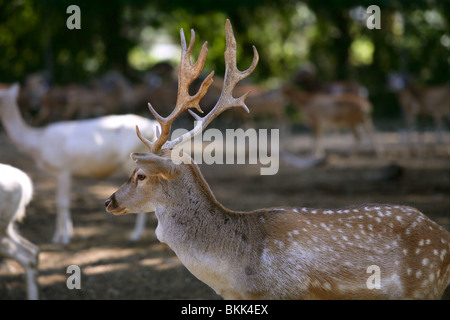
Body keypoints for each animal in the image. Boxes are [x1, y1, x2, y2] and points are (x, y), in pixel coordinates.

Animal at [0, 84, 158, 244]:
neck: (37, 144)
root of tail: (153, 125)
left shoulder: (63, 169)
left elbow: (62, 203)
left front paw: (64, 238)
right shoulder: (60, 173)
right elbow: (60, 202)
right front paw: (58, 236)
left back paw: (136, 235)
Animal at [104, 20, 450, 300]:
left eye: (140, 174)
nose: (110, 200)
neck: (240, 279)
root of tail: (443, 236)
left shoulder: (291, 292)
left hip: (423, 285)